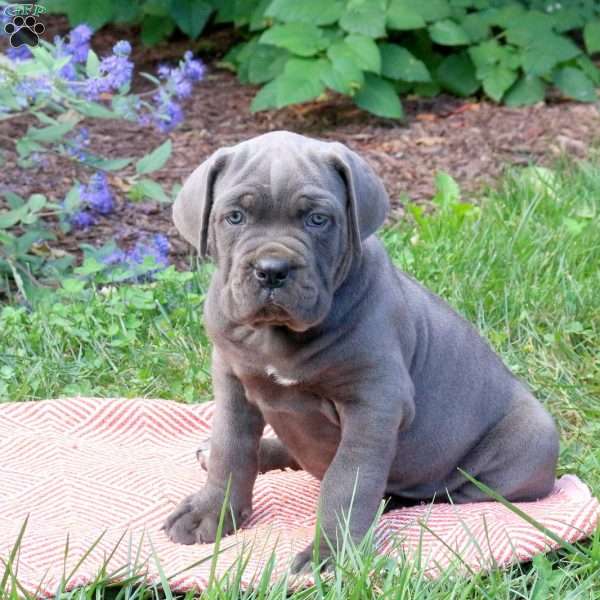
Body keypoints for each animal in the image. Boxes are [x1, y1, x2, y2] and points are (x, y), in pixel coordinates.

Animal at [163, 131, 556, 572]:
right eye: (234, 217)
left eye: (318, 220)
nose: (272, 270)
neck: (276, 336)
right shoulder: (232, 381)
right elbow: (229, 450)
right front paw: (211, 512)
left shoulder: (374, 404)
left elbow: (347, 481)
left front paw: (332, 552)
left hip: (531, 437)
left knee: (443, 488)